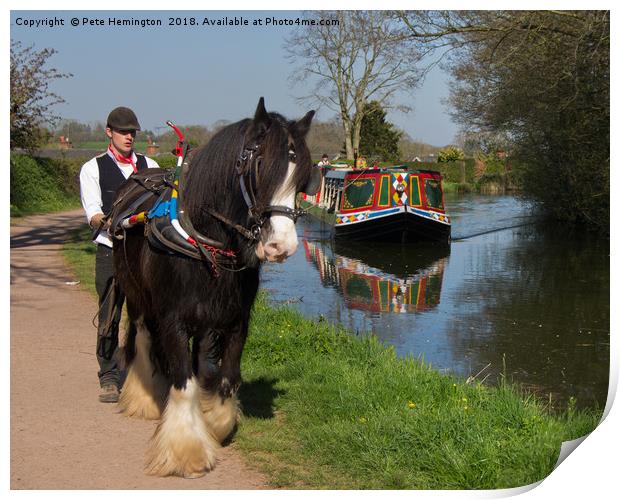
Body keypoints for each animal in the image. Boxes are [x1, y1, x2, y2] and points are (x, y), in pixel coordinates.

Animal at [109, 97, 318, 476]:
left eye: (302, 177)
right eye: (259, 166)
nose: (281, 246)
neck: (204, 238)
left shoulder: (235, 320)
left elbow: (224, 378)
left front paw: (214, 423)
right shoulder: (173, 320)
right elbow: (183, 382)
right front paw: (186, 450)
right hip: (137, 296)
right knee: (143, 339)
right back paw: (143, 399)